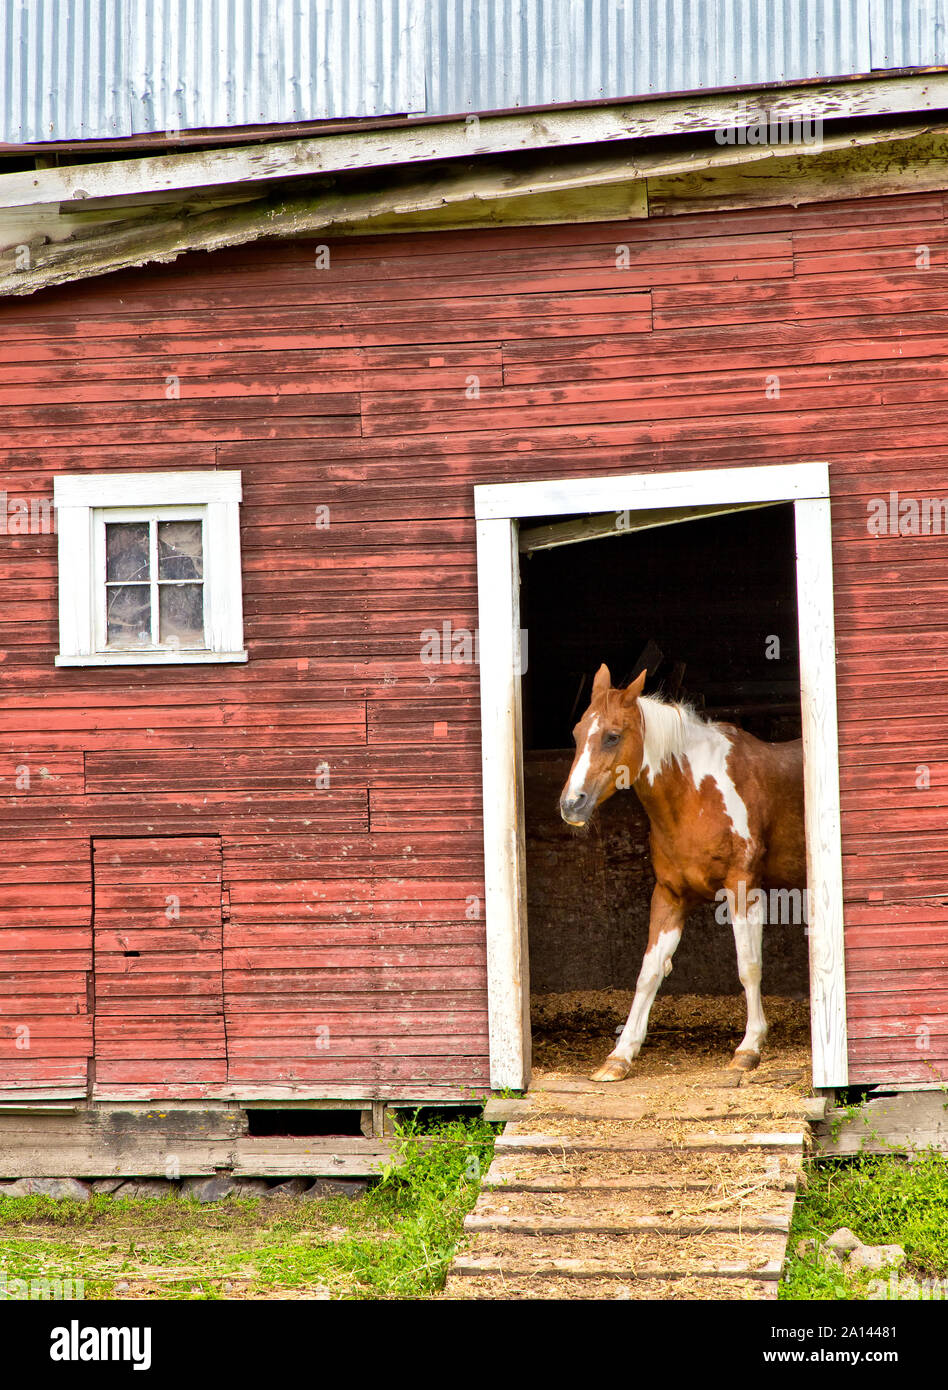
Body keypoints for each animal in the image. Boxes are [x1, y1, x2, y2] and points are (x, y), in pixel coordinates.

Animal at [558, 664, 800, 1084]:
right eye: (576, 733)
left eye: (612, 736)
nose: (572, 804)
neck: (695, 792)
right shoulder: (670, 894)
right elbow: (649, 972)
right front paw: (620, 1056)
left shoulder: (743, 888)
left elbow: (748, 967)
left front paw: (749, 1048)